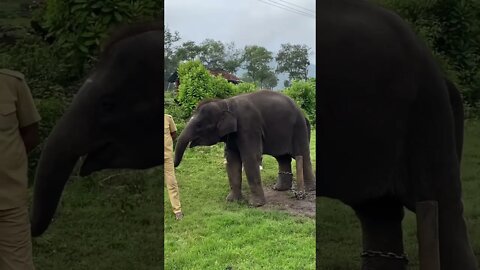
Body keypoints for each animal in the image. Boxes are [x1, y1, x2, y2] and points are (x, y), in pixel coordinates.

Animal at [172, 89, 316, 206]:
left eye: (199, 125)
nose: (174, 165)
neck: (225, 103)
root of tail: (303, 114)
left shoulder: (248, 128)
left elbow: (250, 158)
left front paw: (256, 205)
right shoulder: (232, 135)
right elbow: (232, 160)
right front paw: (232, 201)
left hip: (299, 130)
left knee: (302, 155)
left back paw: (308, 189)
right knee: (282, 158)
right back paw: (279, 188)